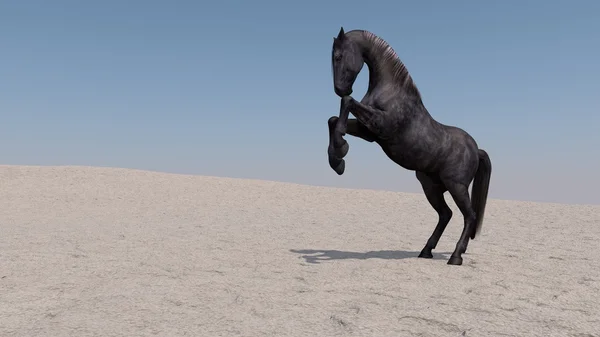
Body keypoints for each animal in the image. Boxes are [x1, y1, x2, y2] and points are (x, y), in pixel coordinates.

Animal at [328, 27, 492, 266]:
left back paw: (455, 257)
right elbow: (333, 120)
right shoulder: (369, 132)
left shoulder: (381, 126)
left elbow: (347, 102)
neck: (392, 91)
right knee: (446, 214)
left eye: (338, 56)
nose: (340, 88)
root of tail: (476, 149)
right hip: (431, 187)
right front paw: (337, 160)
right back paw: (426, 251)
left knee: (468, 216)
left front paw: (341, 147)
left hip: (457, 186)